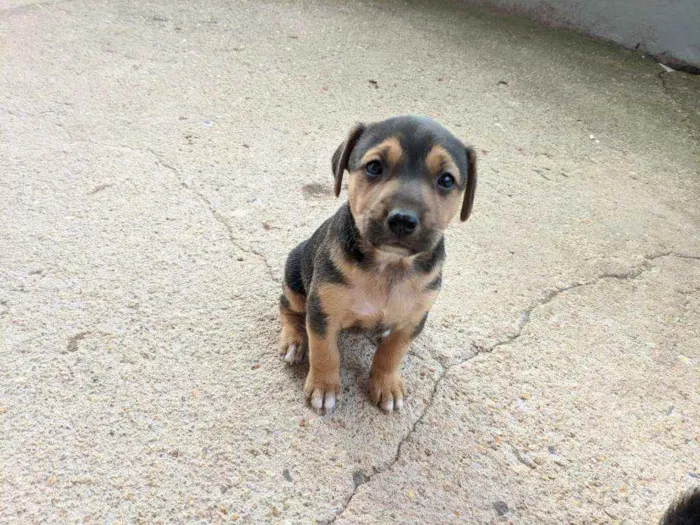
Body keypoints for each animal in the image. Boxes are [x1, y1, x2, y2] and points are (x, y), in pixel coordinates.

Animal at [278, 115, 476, 414]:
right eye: (374, 167)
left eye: (446, 180)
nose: (403, 219)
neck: (389, 265)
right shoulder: (322, 310)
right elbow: (324, 350)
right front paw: (324, 386)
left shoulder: (413, 319)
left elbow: (392, 353)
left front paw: (386, 385)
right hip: (294, 273)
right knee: (287, 308)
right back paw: (294, 340)